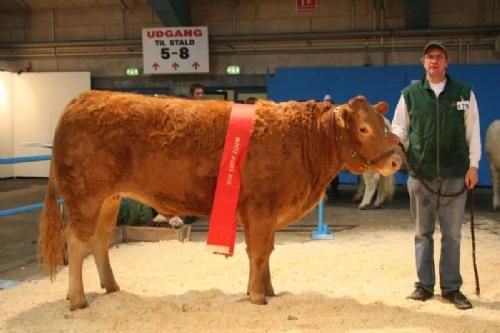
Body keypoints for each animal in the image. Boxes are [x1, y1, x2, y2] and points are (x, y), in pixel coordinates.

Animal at [39, 91, 402, 308]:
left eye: (384, 124)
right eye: (364, 129)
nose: (397, 159)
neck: (305, 140)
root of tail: (83, 97)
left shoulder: (267, 212)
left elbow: (266, 253)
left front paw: (267, 289)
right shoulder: (260, 208)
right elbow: (258, 253)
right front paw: (257, 296)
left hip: (109, 199)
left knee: (99, 239)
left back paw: (111, 287)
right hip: (85, 196)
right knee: (76, 241)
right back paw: (78, 300)